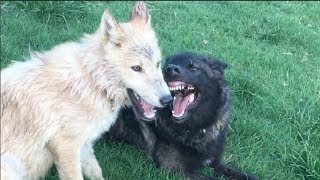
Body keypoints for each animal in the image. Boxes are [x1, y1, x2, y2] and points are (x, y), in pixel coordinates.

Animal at [104, 51, 258, 179]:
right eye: (165, 67)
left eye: (193, 67)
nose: (170, 69)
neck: (197, 128)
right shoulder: (175, 168)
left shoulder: (214, 161)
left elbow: (243, 174)